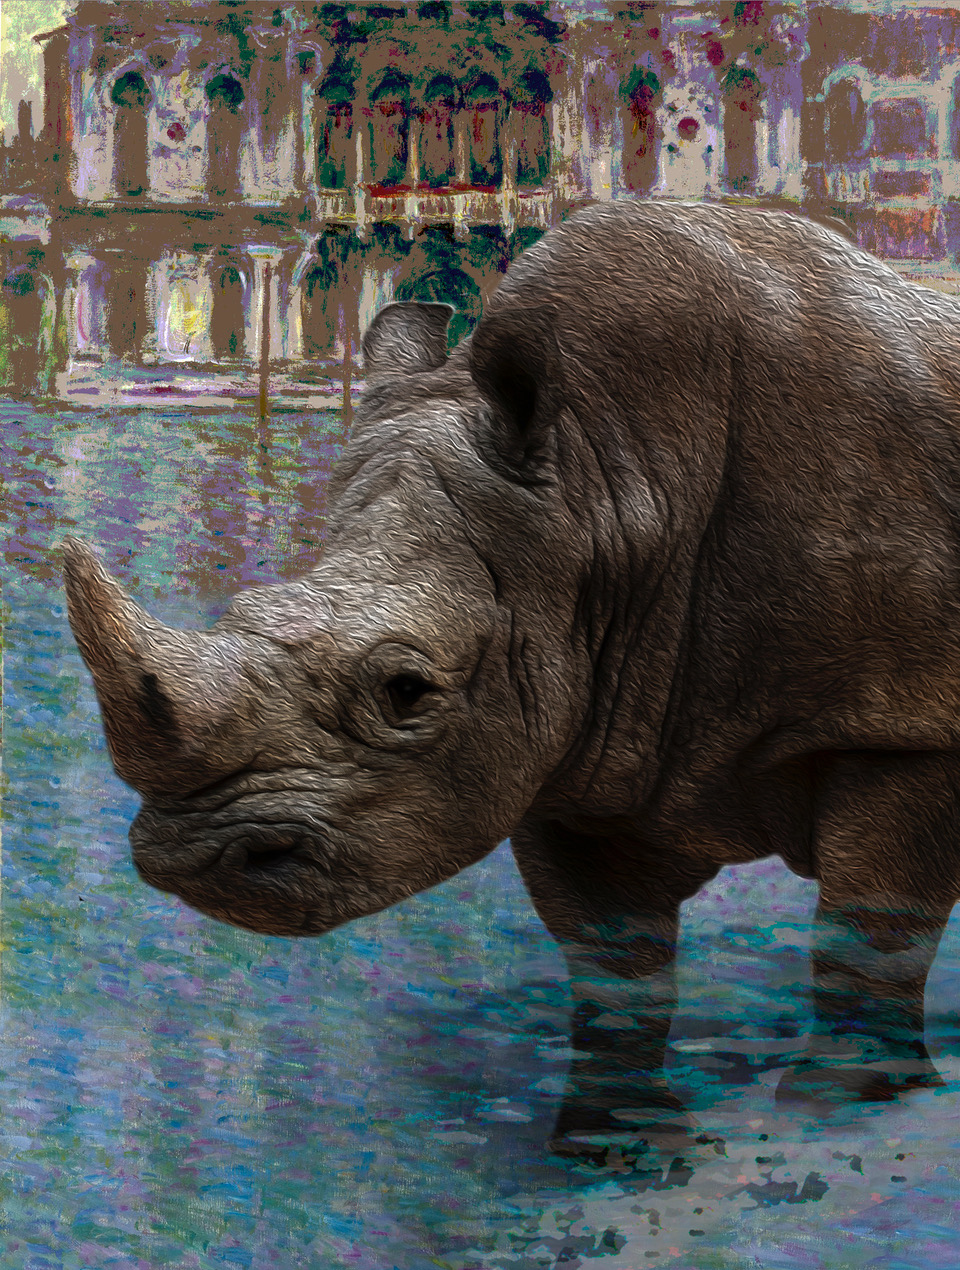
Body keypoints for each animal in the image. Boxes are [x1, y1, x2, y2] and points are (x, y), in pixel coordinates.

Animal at [64, 200, 960, 1151]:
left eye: (406, 690)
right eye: (242, 612)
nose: (185, 860)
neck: (612, 488)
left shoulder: (905, 722)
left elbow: (870, 929)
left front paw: (847, 1108)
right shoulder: (581, 732)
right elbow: (612, 962)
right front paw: (619, 1145)